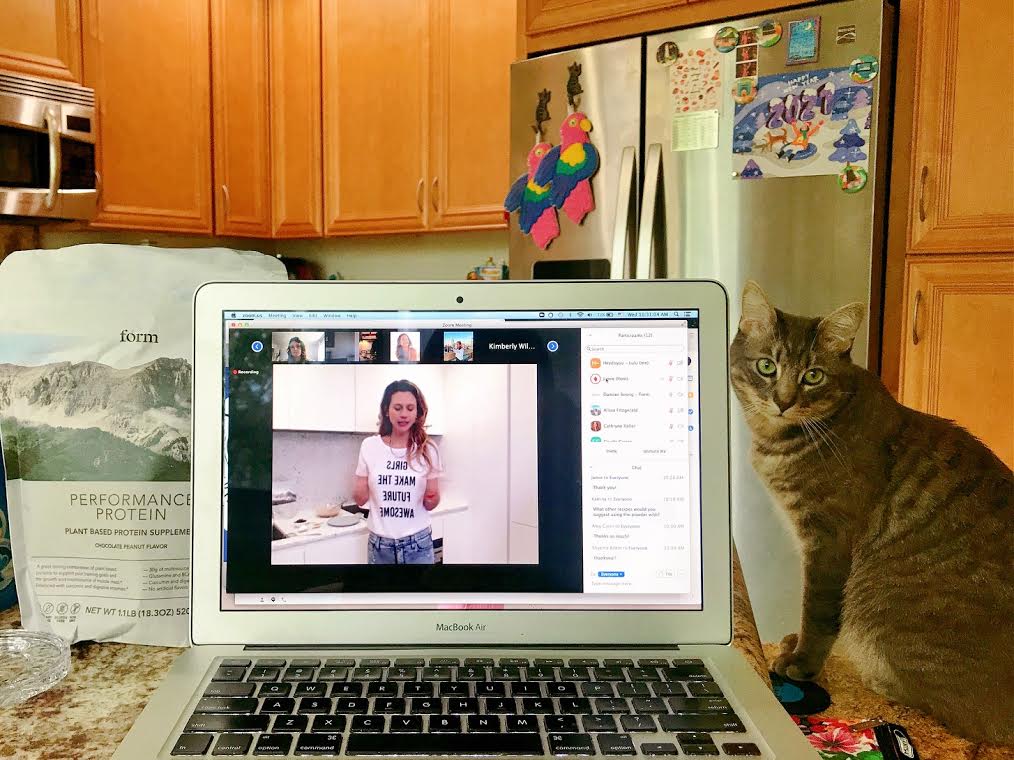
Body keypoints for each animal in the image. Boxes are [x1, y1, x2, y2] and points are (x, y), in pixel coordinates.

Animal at [729, 281, 1013, 743]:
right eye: (767, 366)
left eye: (813, 375)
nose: (783, 401)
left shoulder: (829, 540)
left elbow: (817, 611)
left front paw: (802, 663)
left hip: (878, 604)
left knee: (967, 717)